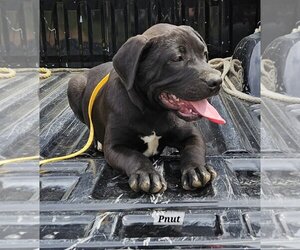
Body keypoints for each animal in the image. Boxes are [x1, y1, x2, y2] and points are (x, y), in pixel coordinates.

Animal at [67, 23, 224, 193]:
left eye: (204, 53)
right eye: (177, 58)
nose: (217, 81)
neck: (152, 111)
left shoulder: (192, 135)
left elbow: (194, 149)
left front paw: (196, 169)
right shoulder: (115, 147)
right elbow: (135, 156)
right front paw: (147, 174)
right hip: (74, 84)